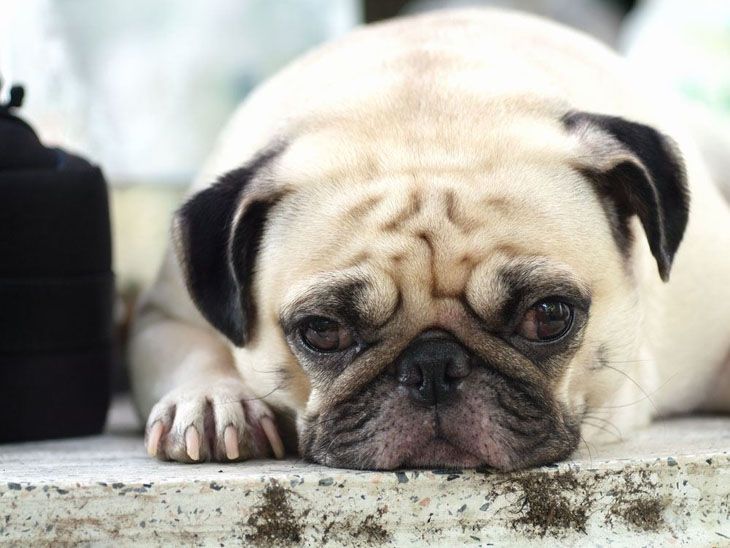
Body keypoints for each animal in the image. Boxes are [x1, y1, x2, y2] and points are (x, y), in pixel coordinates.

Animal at [129, 7, 728, 470]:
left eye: (549, 316)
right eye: (322, 331)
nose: (433, 367)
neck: (427, 116)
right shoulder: (162, 316)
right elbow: (196, 347)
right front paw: (211, 401)